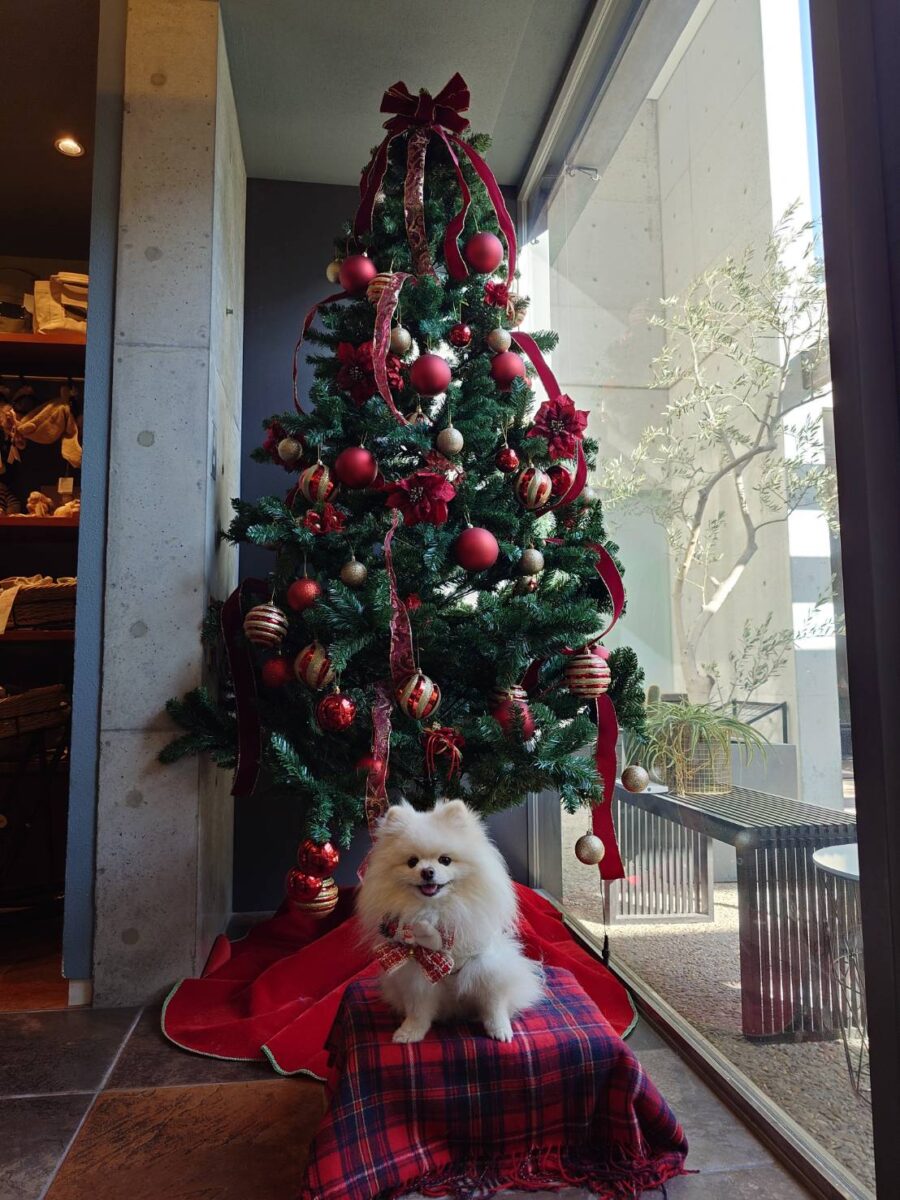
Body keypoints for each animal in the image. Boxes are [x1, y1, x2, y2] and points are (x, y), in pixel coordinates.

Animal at [357, 799, 544, 1043]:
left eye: (445, 860)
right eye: (412, 862)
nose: (427, 871)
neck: (435, 908)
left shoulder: (486, 965)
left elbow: (493, 1003)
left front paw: (499, 1029)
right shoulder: (416, 973)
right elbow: (418, 1010)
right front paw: (410, 1032)